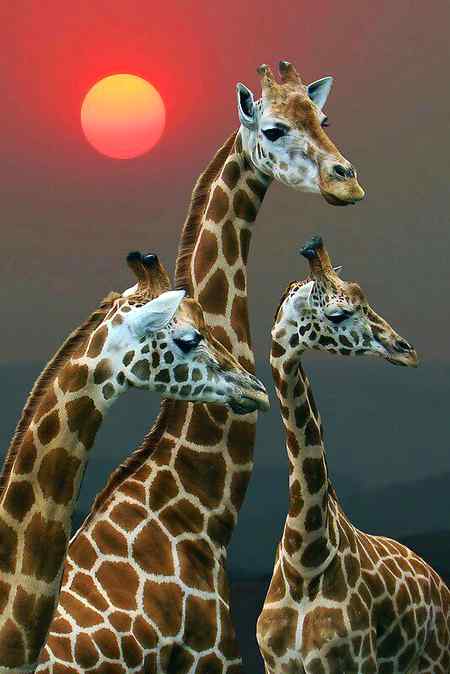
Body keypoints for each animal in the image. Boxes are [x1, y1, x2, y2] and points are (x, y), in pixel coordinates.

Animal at [257, 235, 449, 674]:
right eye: (338, 313)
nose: (406, 350)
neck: (305, 558)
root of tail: (438, 581)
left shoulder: (355, 660)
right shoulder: (276, 664)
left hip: (435, 659)